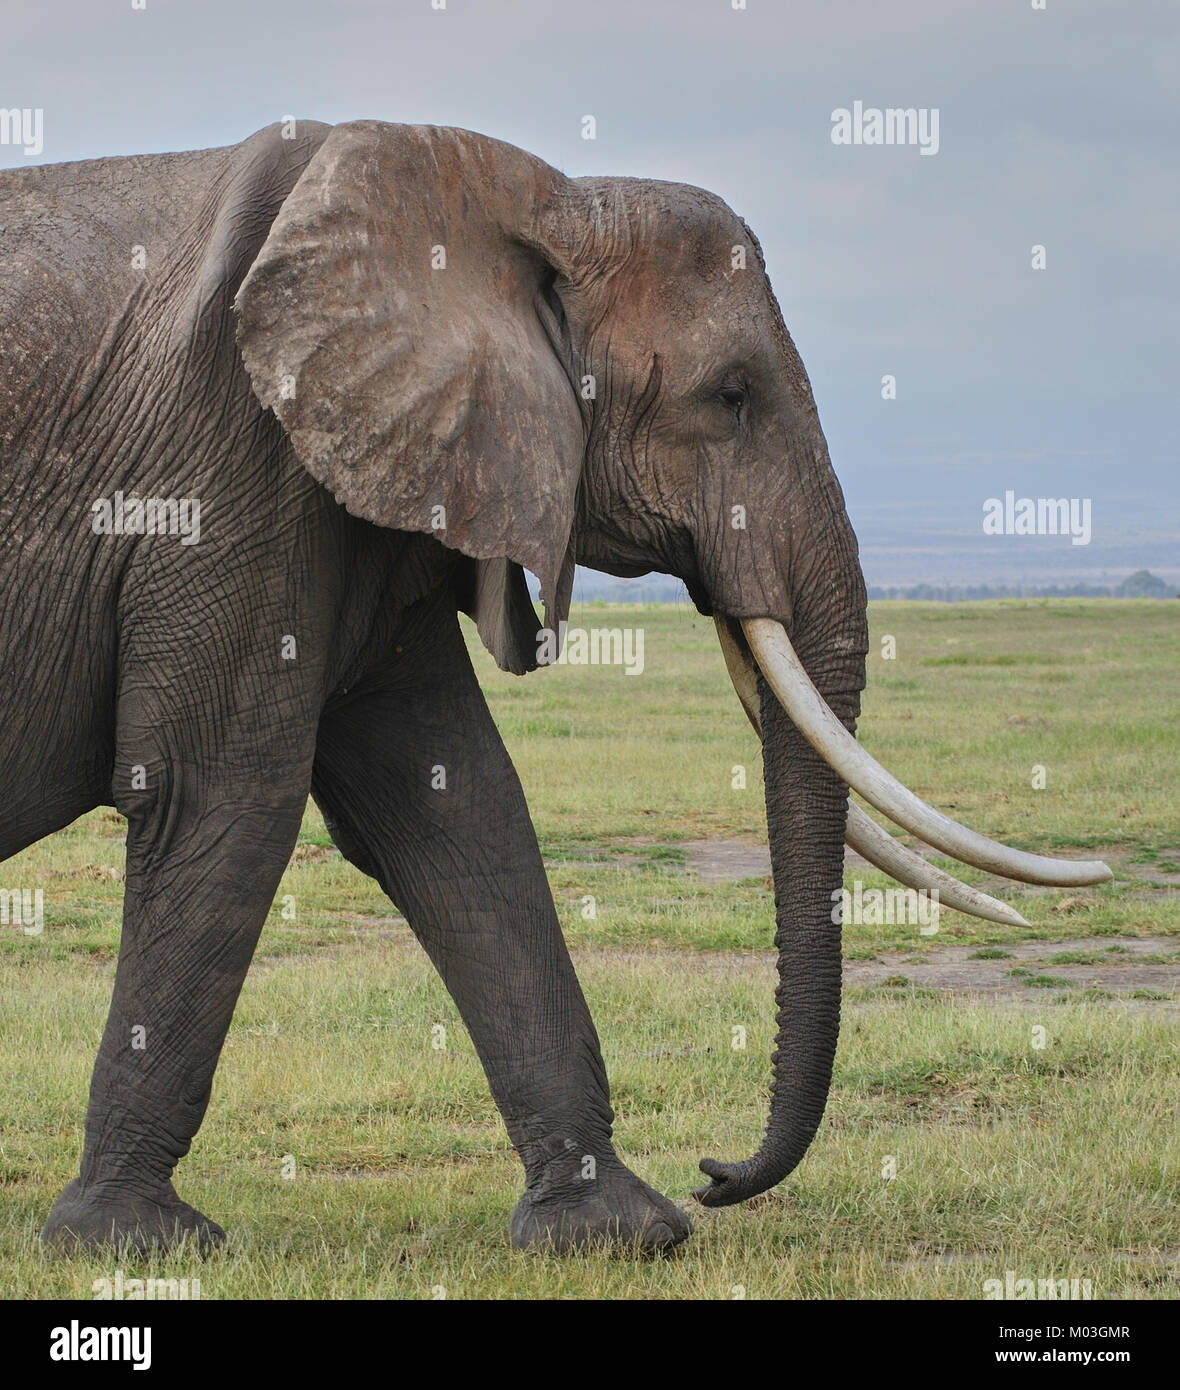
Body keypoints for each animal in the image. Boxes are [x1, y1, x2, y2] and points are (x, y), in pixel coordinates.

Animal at [0, 120, 1111, 1255]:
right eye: (731, 397)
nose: (717, 1171)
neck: (528, 201)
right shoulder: (228, 476)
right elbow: (221, 796)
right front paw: (132, 1244)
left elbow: (455, 804)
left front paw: (618, 1232)